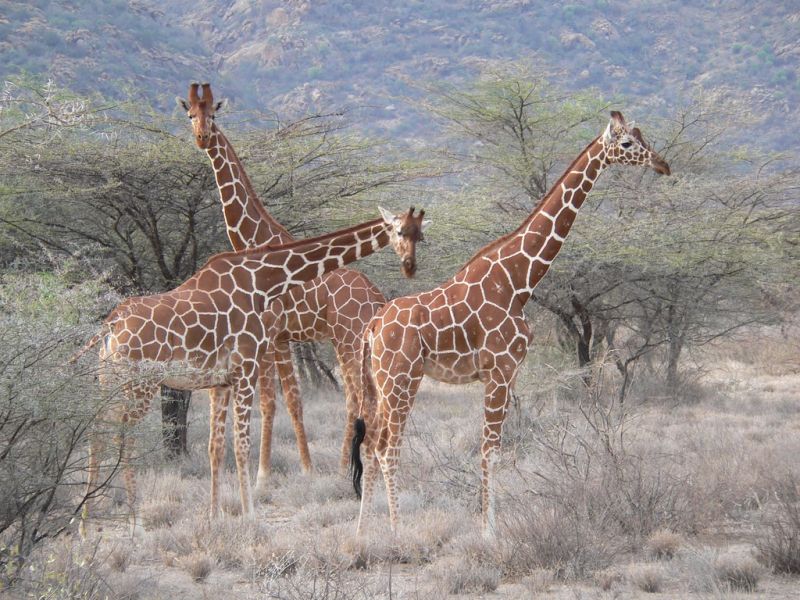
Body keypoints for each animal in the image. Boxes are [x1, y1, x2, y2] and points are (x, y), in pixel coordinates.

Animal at [76, 206, 428, 536]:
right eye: (399, 231)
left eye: (419, 234)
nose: (409, 265)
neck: (264, 280)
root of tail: (111, 324)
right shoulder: (246, 369)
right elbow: (242, 444)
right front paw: (250, 515)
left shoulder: (221, 381)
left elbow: (216, 446)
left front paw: (214, 516)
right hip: (140, 384)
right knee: (123, 436)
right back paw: (134, 523)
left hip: (110, 382)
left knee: (96, 431)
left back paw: (84, 522)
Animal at [175, 84, 406, 488]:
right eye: (190, 115)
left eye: (213, 115)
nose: (202, 138)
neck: (255, 241)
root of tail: (377, 298)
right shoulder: (280, 337)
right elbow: (289, 400)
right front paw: (298, 468)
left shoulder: (269, 333)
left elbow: (272, 400)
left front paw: (265, 474)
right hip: (348, 341)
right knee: (364, 397)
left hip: (347, 337)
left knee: (357, 398)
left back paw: (348, 467)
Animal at [354, 111, 672, 536]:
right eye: (626, 144)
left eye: (642, 137)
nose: (662, 164)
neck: (520, 278)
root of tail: (373, 327)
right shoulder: (500, 369)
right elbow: (491, 450)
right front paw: (489, 530)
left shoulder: (507, 373)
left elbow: (495, 449)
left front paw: (489, 523)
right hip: (400, 379)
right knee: (387, 447)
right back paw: (396, 529)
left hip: (381, 381)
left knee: (370, 444)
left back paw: (361, 531)